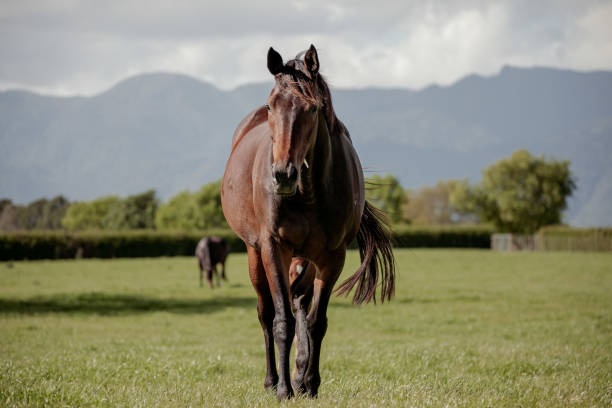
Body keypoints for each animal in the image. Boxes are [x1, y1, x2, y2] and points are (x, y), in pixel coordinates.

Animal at [222, 44, 394, 398]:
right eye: (271, 105)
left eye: (313, 109)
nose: (283, 175)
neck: (309, 190)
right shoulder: (273, 248)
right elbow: (281, 320)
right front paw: (283, 389)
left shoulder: (332, 256)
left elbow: (317, 321)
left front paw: (310, 382)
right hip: (254, 251)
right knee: (266, 312)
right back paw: (273, 379)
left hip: (306, 257)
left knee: (300, 299)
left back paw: (300, 373)